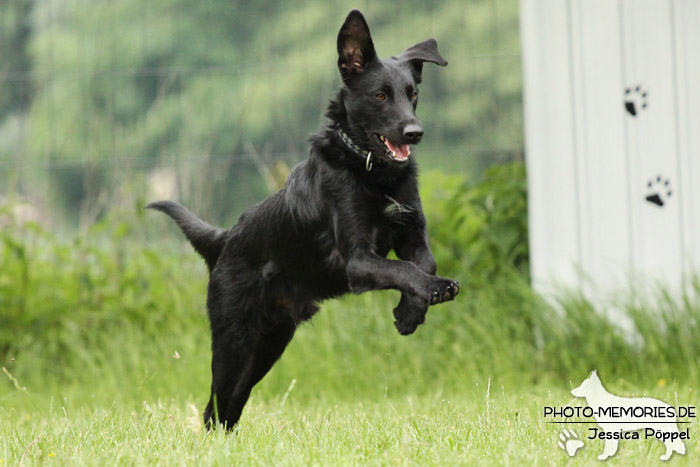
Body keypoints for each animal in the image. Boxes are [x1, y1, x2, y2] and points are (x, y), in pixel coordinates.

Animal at [147, 8, 456, 432]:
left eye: (413, 94)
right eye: (380, 95)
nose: (415, 132)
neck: (369, 170)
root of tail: (225, 239)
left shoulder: (411, 232)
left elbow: (424, 262)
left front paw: (411, 312)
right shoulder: (358, 260)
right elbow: (404, 269)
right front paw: (428, 293)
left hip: (269, 344)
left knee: (230, 405)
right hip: (234, 340)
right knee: (215, 406)